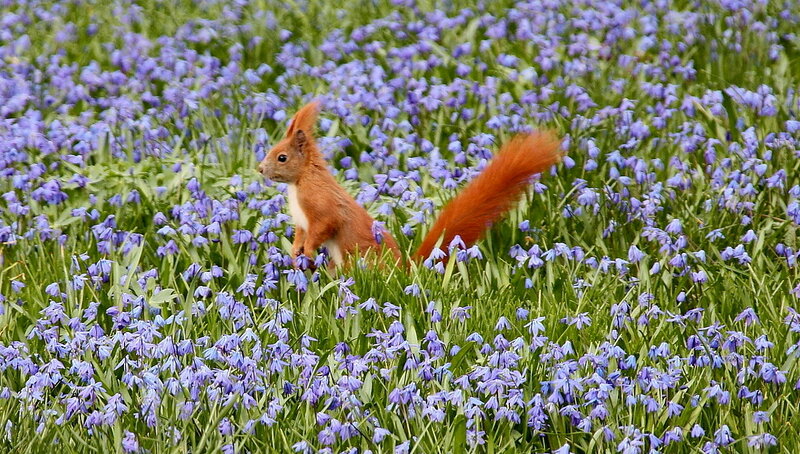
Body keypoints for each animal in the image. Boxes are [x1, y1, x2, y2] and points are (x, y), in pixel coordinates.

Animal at [257, 101, 563, 269]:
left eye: (282, 157)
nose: (260, 169)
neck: (300, 182)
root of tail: (404, 272)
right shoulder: (302, 220)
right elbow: (300, 234)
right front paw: (296, 251)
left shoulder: (321, 206)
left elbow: (324, 227)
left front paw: (308, 251)